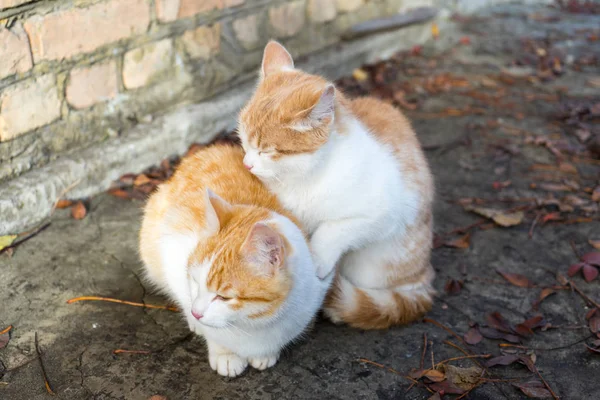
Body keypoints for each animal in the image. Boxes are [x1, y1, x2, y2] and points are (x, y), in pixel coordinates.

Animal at [138, 144, 330, 376]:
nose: (196, 313)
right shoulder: (173, 251)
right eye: (195, 281)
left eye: (224, 297)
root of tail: (199, 153)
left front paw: (265, 354)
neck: (252, 323)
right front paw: (224, 353)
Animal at [238, 40, 436, 330]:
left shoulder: (383, 214)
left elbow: (333, 230)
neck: (306, 179)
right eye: (242, 139)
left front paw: (317, 260)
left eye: (267, 151)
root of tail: (424, 276)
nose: (247, 164)